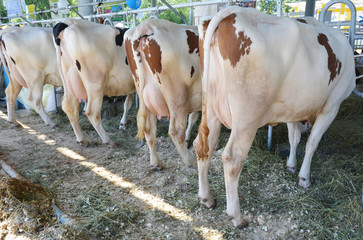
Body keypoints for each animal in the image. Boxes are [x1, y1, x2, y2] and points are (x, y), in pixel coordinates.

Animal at [126, 19, 203, 171]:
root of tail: (145, 26)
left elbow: (194, 117)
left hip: (145, 93)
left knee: (149, 129)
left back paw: (156, 163)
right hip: (178, 97)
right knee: (175, 131)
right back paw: (190, 161)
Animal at [195, 5, 356, 227]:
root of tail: (232, 11)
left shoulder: (293, 108)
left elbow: (294, 137)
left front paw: (291, 165)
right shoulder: (332, 105)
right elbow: (312, 143)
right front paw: (304, 178)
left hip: (211, 106)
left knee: (204, 145)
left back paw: (206, 198)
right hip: (246, 118)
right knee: (232, 159)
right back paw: (236, 216)